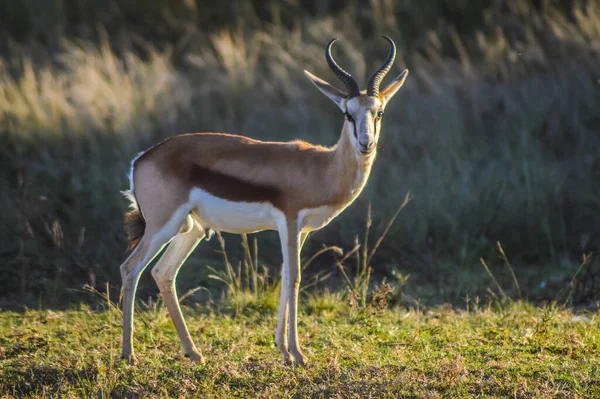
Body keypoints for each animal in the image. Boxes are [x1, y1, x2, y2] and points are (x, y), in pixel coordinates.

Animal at [117, 36, 408, 366]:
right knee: (131, 269)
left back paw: (193, 352)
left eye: (379, 113)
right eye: (348, 113)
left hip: (191, 229)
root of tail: (143, 159)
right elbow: (294, 278)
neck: (321, 168)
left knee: (162, 273)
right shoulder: (290, 221)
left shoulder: (300, 231)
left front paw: (283, 351)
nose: (365, 144)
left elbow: (284, 275)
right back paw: (129, 354)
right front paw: (298, 353)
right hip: (163, 225)